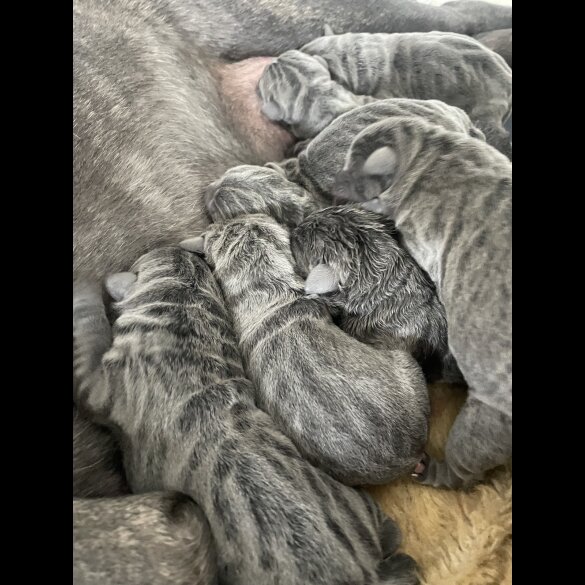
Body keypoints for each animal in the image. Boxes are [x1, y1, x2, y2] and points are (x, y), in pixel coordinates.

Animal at [330, 114, 508, 488]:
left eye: (352, 167)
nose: (334, 181)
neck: (430, 151)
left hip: (483, 426)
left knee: (464, 467)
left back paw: (432, 471)